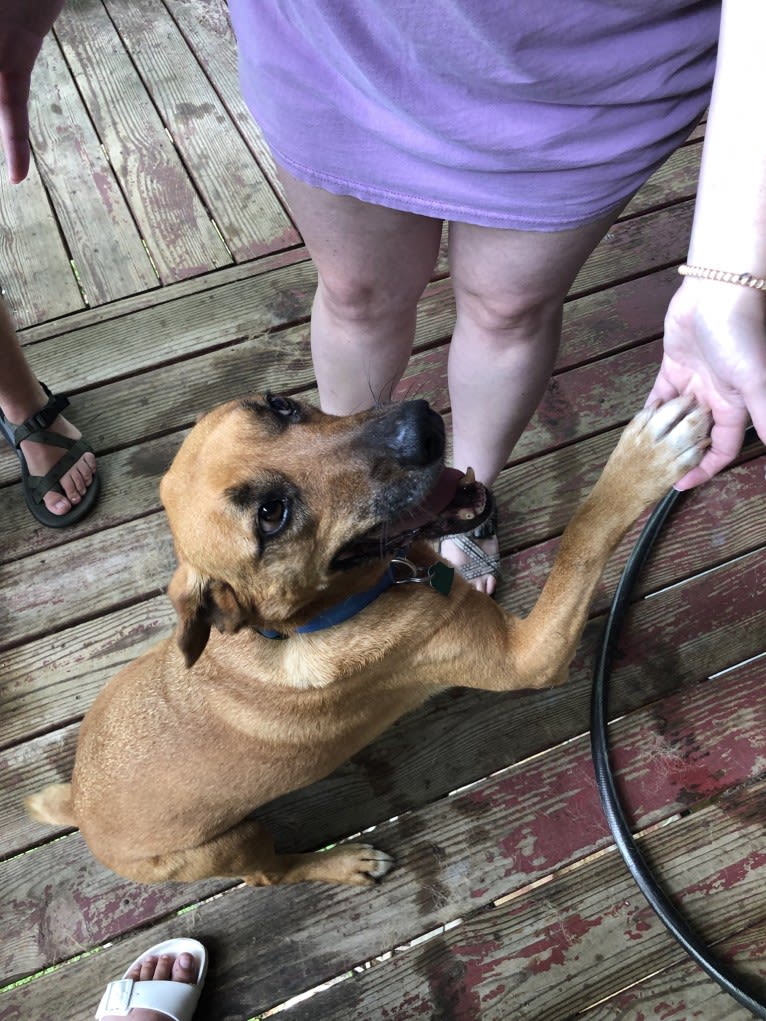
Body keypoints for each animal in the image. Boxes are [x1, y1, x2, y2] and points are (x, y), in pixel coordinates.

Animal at [30, 394, 714, 890]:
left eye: (281, 406)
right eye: (271, 515)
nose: (421, 427)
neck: (309, 618)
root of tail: (81, 811)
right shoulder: (529, 655)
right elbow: (585, 533)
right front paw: (646, 460)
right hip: (230, 843)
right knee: (268, 874)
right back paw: (345, 864)